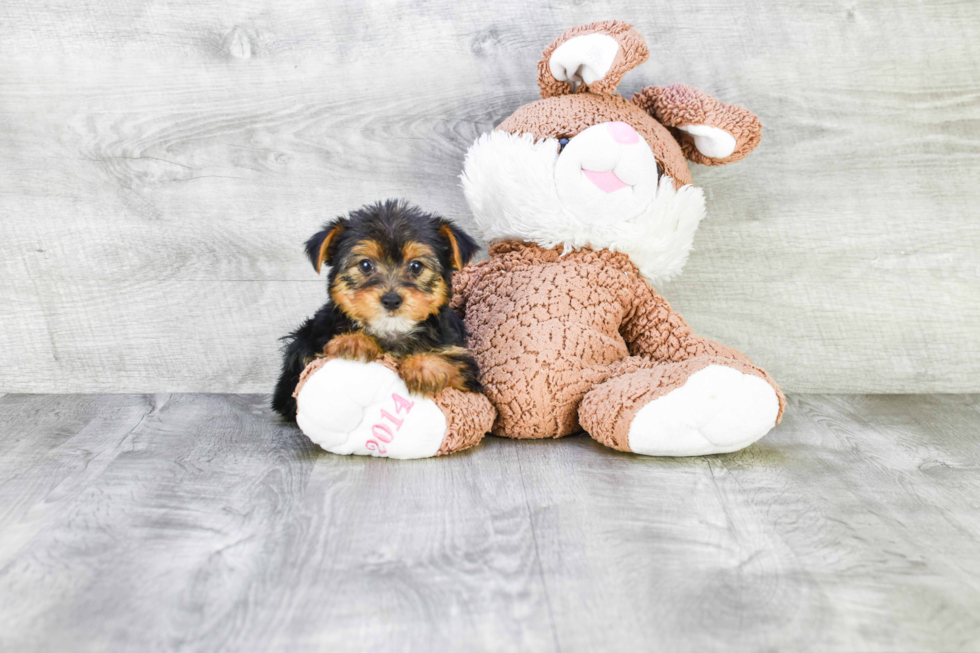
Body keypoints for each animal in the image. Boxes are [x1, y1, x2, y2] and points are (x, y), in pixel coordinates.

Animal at [272, 199, 482, 420]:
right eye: (365, 265)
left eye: (416, 266)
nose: (391, 300)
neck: (391, 331)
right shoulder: (307, 347)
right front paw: (353, 341)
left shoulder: (462, 362)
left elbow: (456, 363)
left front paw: (424, 367)